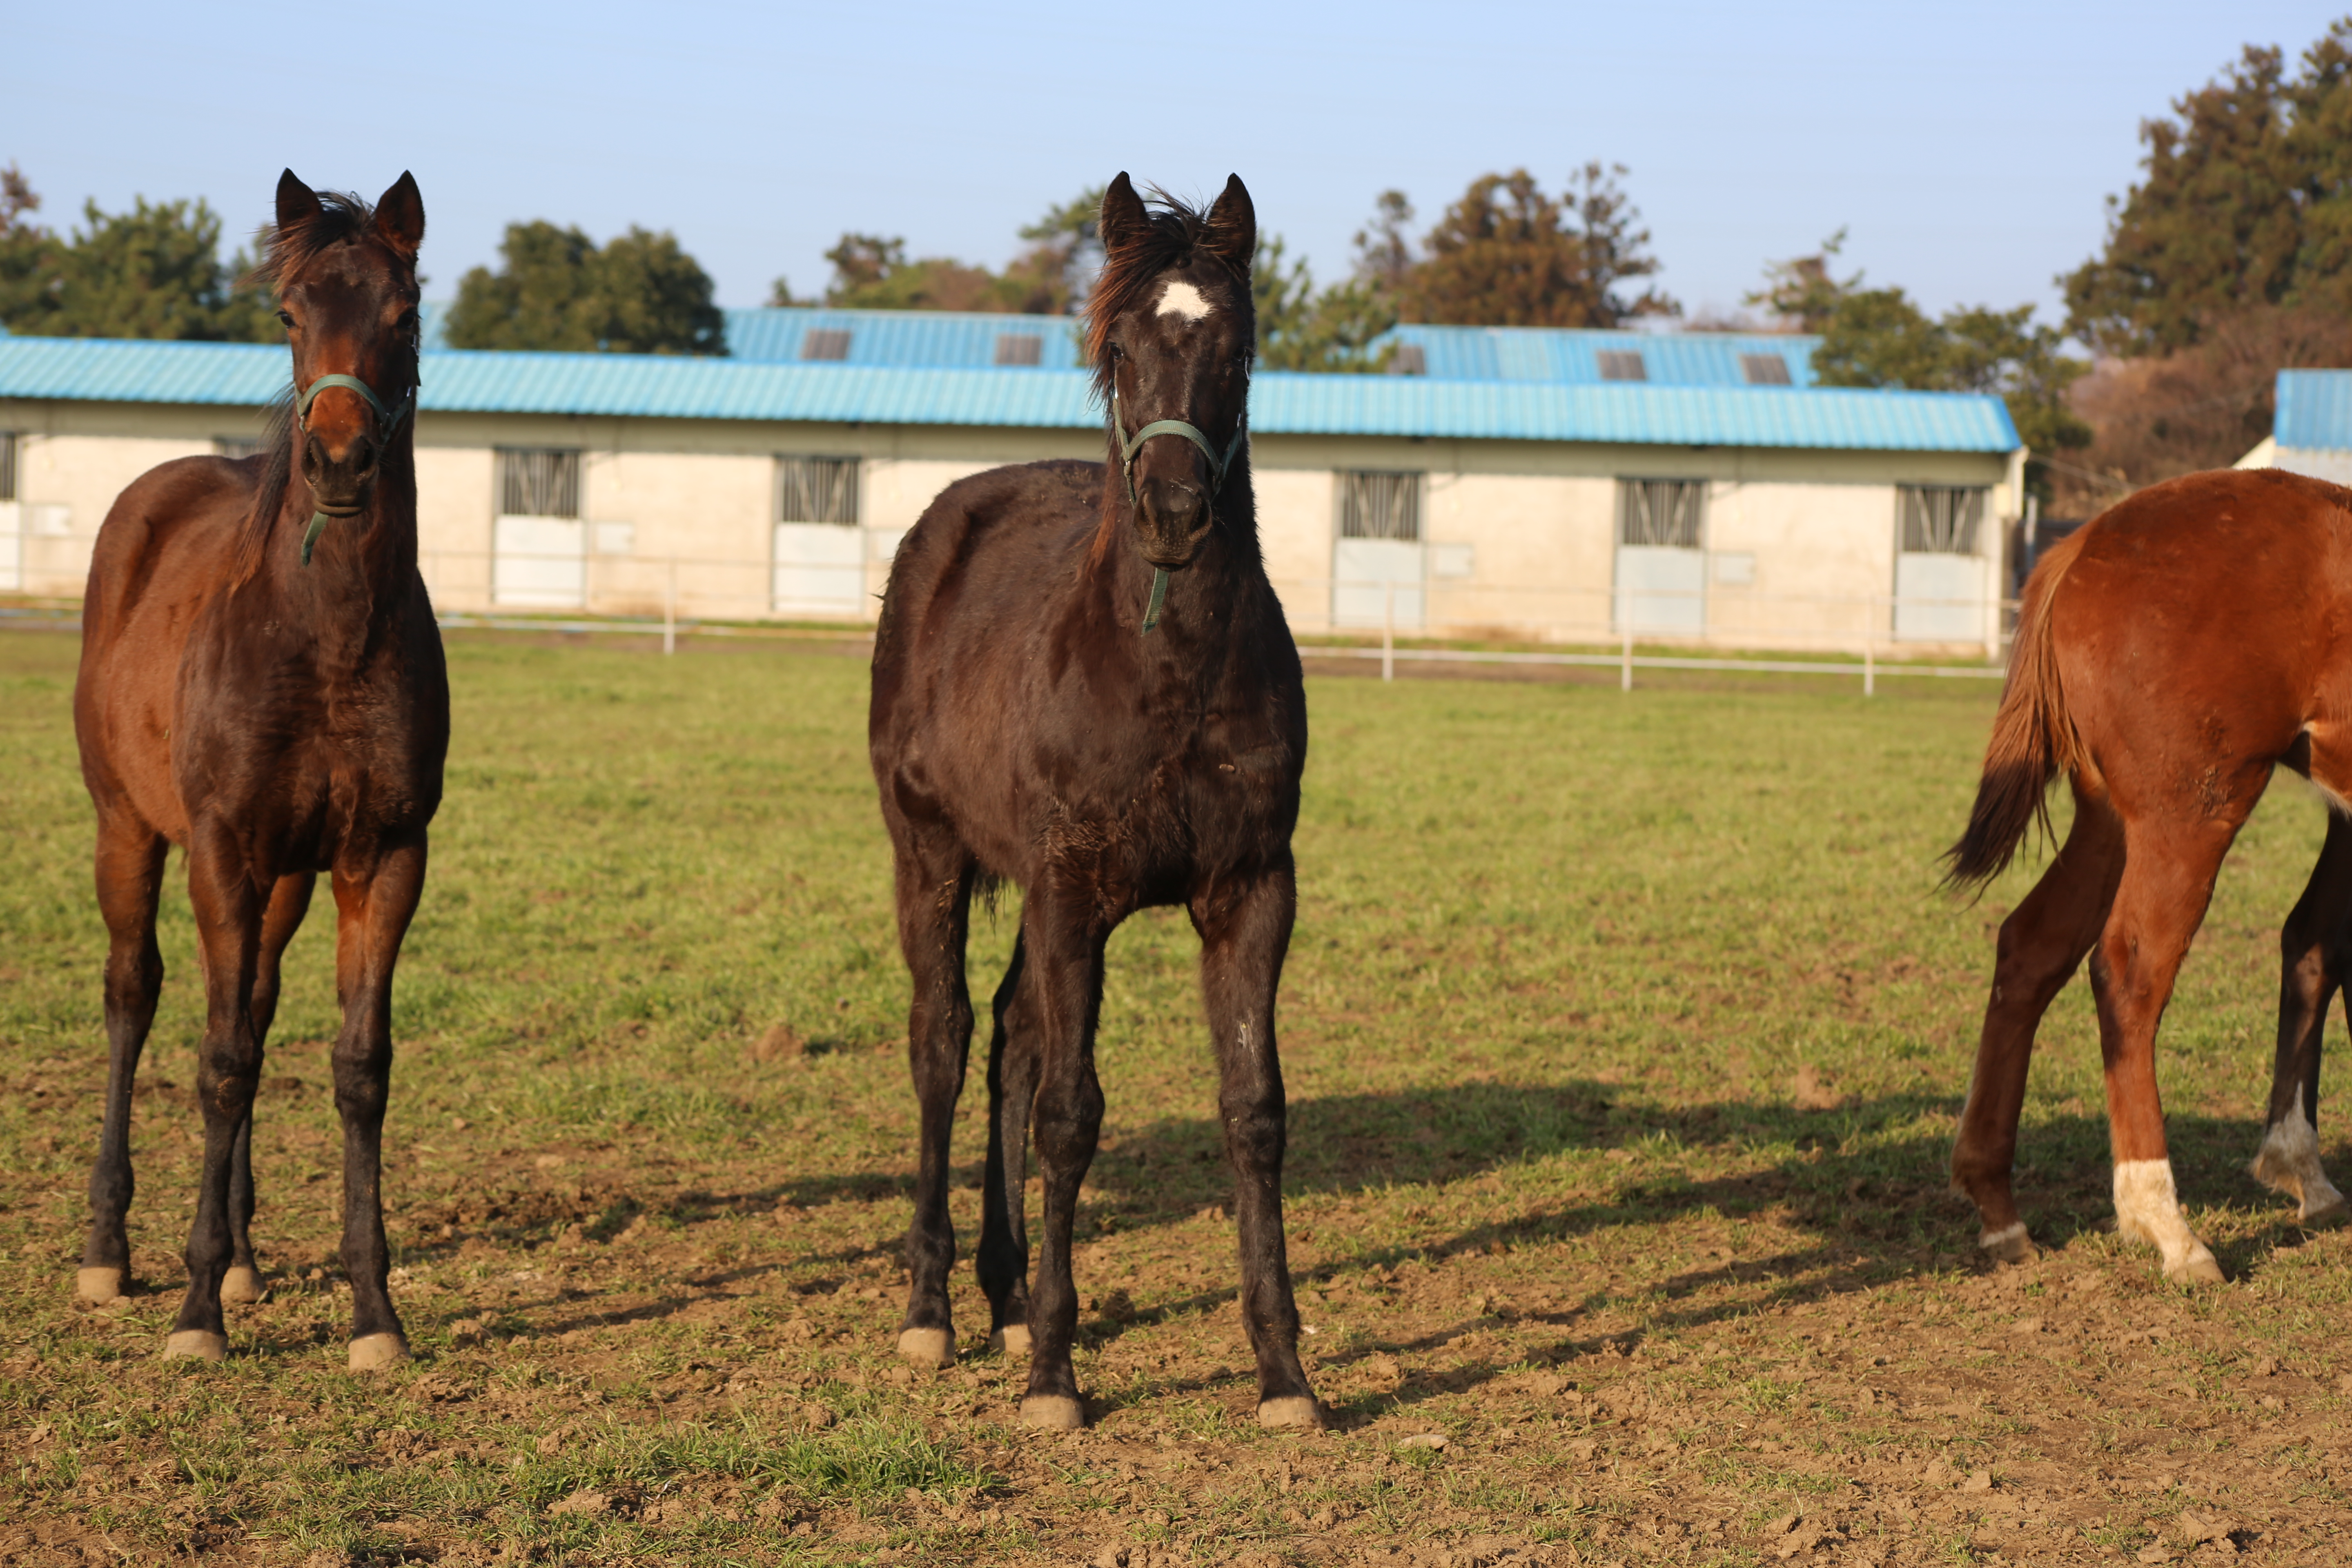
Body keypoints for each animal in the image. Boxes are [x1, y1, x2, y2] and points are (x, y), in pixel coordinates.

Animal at [72, 172, 444, 1363]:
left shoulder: (384, 857)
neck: (323, 638)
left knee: (260, 1000)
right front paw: (195, 1314)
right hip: (132, 834)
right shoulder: (223, 852)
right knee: (136, 996)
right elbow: (223, 1061)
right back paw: (112, 1252)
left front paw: (373, 1311)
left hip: (281, 879)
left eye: (403, 315)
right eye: (287, 314)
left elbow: (356, 1067)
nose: (338, 463)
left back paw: (241, 1255)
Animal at [1947, 465, 2352, 1278]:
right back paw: (2166, 1224)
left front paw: (2299, 1164)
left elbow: (2316, 946)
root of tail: (2081, 545)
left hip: (2110, 824)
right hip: (2187, 820)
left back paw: (1999, 1208)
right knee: (2129, 974)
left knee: (2030, 948)